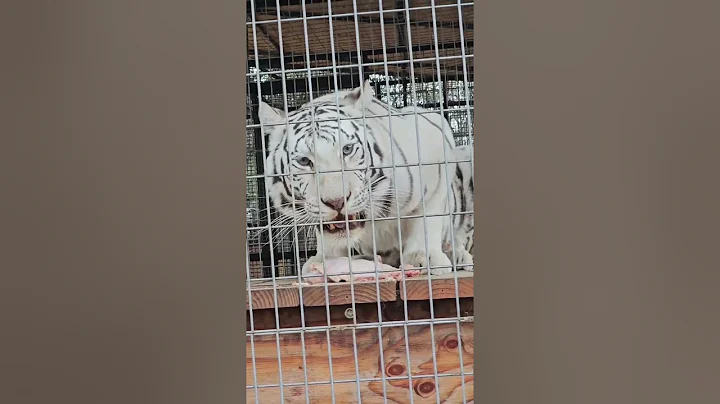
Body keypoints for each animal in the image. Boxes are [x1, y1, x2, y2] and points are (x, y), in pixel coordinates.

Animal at [258, 81, 471, 276]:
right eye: (304, 161)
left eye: (347, 149)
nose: (336, 202)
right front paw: (325, 260)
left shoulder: (438, 143)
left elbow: (428, 217)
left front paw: (423, 256)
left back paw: (458, 256)